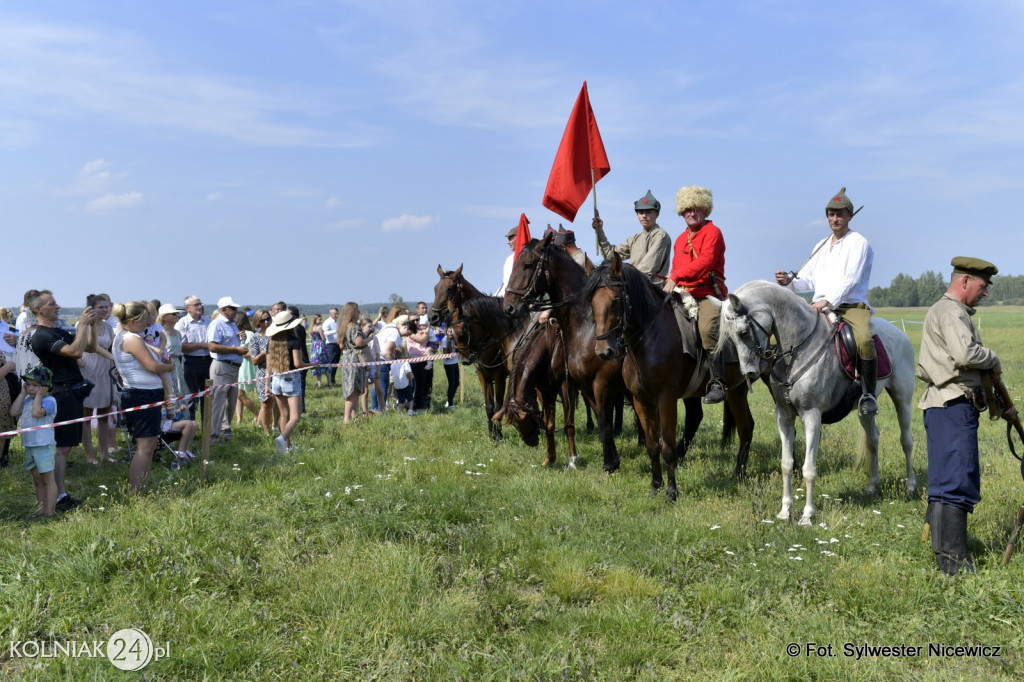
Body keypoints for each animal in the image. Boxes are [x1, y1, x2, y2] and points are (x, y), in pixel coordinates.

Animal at [501, 231, 626, 471]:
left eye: (527, 265)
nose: (509, 307)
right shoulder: (548, 388)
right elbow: (551, 423)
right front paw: (549, 458)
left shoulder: (569, 385)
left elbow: (570, 423)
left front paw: (573, 460)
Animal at [585, 251, 753, 497]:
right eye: (591, 301)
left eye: (615, 299)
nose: (603, 351)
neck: (650, 339)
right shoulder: (641, 400)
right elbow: (652, 445)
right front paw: (655, 486)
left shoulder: (667, 399)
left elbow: (668, 447)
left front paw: (672, 492)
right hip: (736, 391)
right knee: (746, 428)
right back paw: (738, 475)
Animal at [716, 278, 917, 522]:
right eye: (730, 337)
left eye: (744, 332)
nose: (749, 373)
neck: (797, 351)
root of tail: (900, 334)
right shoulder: (784, 417)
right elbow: (786, 464)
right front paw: (785, 511)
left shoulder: (812, 416)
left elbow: (809, 468)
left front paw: (807, 516)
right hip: (865, 410)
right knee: (872, 440)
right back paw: (872, 486)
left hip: (902, 397)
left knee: (906, 440)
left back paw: (911, 486)